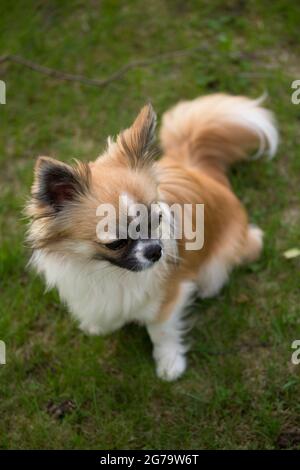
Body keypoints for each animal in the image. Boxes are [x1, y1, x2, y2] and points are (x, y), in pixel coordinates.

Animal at [27, 93, 278, 380]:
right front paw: (98, 325)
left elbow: (161, 331)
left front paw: (169, 363)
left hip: (222, 259)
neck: (108, 271)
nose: (155, 251)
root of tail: (195, 168)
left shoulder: (168, 296)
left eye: (156, 220)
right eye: (117, 243)